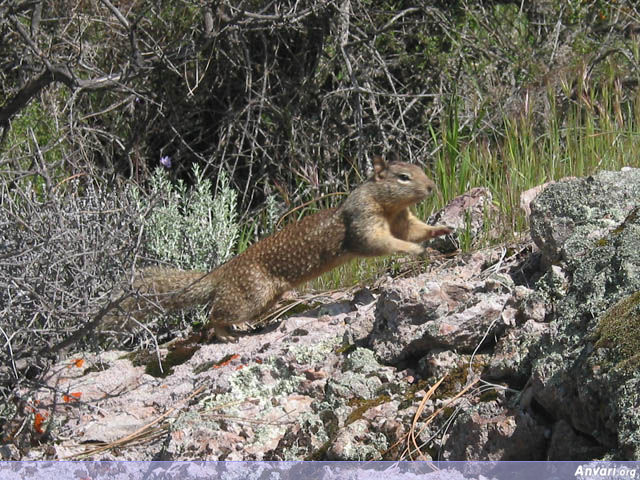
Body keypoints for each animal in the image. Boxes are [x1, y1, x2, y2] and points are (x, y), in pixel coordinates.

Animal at [122, 155, 452, 342]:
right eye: (403, 177)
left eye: (418, 170)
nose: (432, 187)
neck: (388, 207)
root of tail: (220, 273)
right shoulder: (363, 221)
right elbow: (379, 242)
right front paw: (414, 251)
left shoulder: (402, 221)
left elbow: (415, 231)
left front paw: (441, 230)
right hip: (250, 296)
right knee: (214, 315)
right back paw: (226, 335)